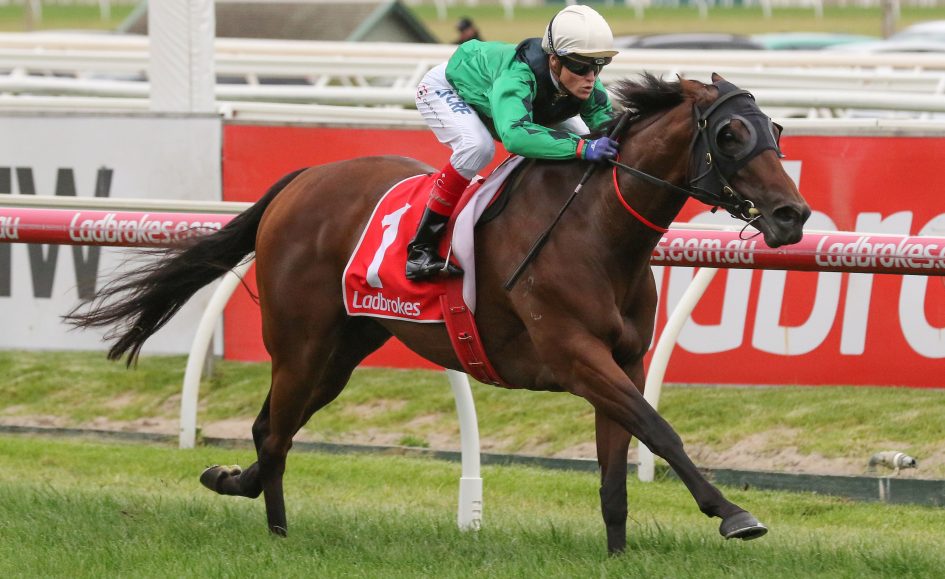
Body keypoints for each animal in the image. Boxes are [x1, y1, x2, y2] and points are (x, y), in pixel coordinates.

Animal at [66, 73, 810, 554]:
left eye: (774, 128)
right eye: (730, 133)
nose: (792, 214)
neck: (598, 231)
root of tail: (301, 182)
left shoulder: (621, 360)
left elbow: (615, 468)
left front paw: (619, 554)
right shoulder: (575, 357)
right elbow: (660, 430)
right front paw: (733, 513)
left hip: (341, 350)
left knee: (269, 428)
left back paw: (242, 492)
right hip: (301, 344)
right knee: (275, 434)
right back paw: (270, 526)